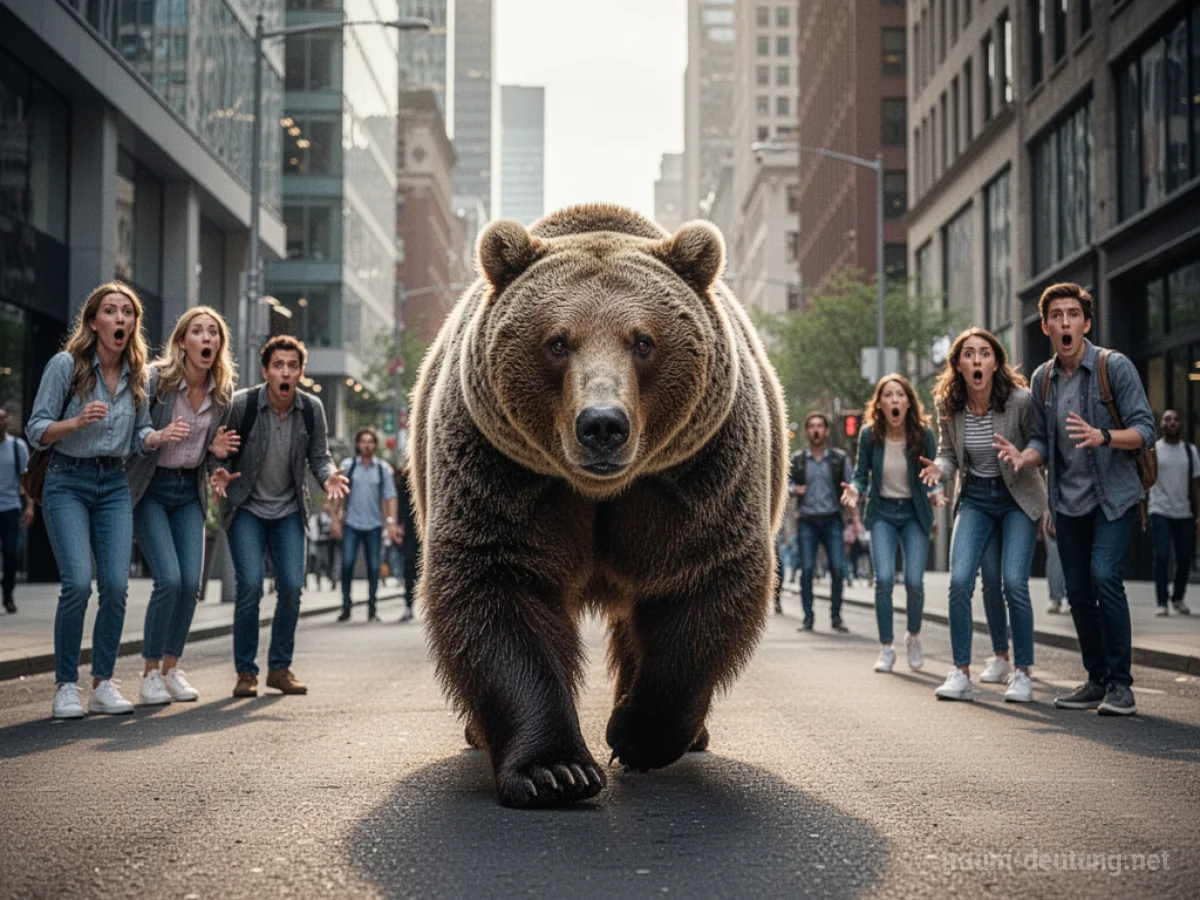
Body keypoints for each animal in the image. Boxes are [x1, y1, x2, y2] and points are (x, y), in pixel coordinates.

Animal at [408, 203, 788, 808]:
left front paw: (635, 735)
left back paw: (689, 734)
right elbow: (497, 590)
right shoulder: (505, 475)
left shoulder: (694, 476)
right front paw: (555, 772)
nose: (603, 424)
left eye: (644, 341)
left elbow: (700, 589)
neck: (599, 491)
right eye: (557, 342)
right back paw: (477, 732)